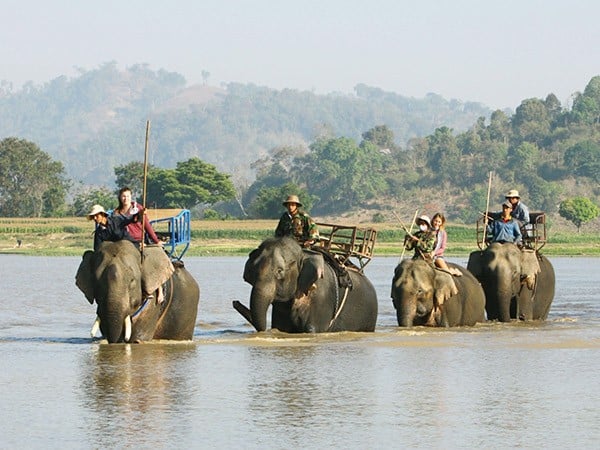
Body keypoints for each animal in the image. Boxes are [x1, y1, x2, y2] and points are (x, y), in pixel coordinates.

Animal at [237, 237, 378, 332]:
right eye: (252, 270)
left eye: (280, 271)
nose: (235, 302)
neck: (303, 252)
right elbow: (282, 327)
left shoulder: (322, 297)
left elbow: (312, 330)